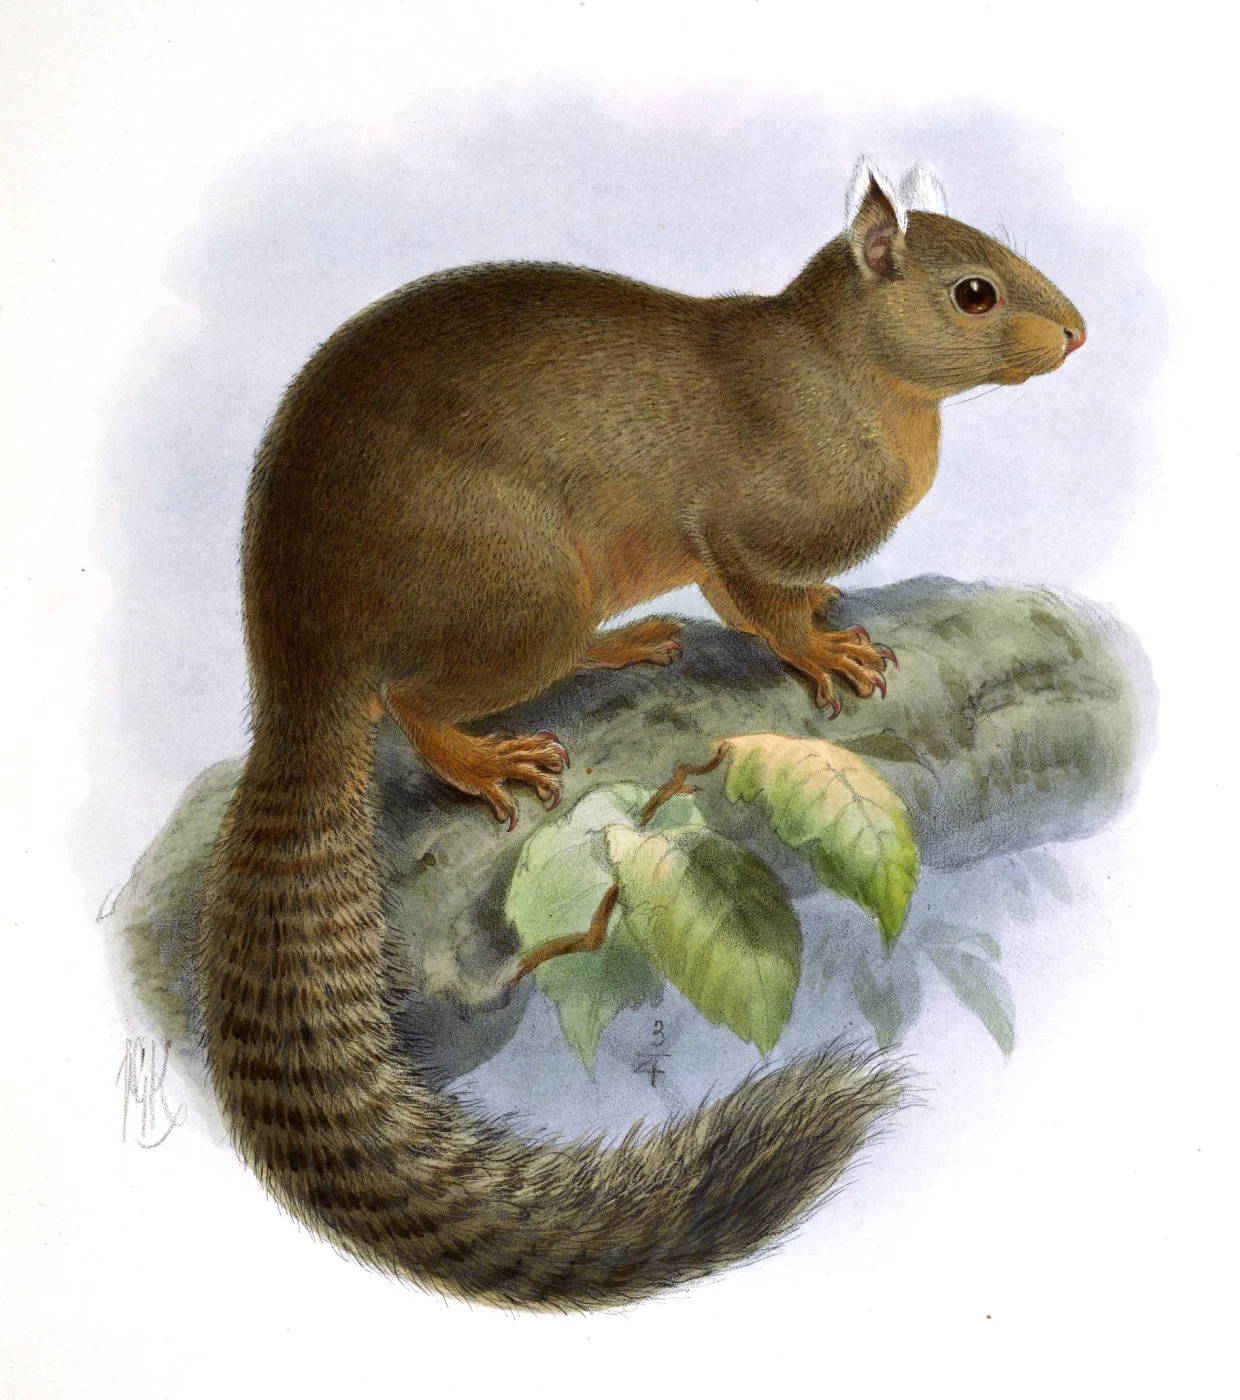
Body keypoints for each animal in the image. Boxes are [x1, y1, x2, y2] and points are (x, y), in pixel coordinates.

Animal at [199, 157, 1085, 1310]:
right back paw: (479, 753)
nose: (1077, 333)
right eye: (975, 292)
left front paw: (820, 616)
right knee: (411, 701)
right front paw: (823, 651)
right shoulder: (746, 519)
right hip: (522, 588)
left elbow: (758, 598)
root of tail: (298, 650)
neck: (848, 377)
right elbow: (758, 596)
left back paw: (619, 645)